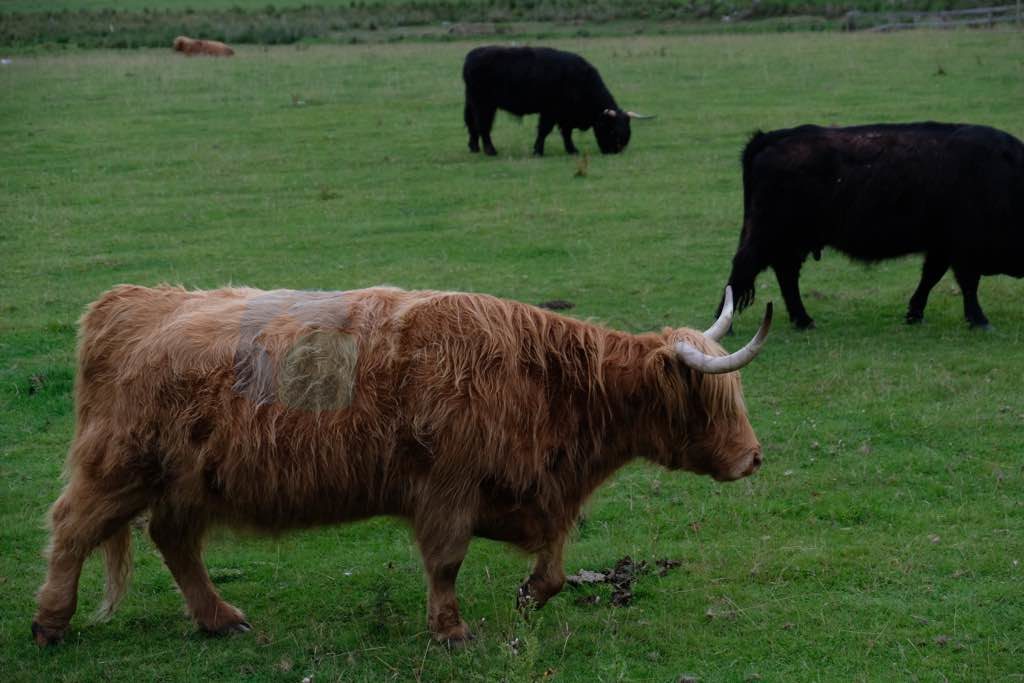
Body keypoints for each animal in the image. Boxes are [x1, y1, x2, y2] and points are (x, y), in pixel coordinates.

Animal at [32, 284, 770, 647]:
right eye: (711, 400)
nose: (753, 457)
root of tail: (135, 301)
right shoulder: (447, 489)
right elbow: (446, 562)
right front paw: (451, 631)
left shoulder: (526, 491)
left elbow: (556, 561)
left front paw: (530, 594)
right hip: (118, 466)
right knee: (71, 529)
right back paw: (50, 623)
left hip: (186, 482)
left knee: (175, 541)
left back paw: (220, 618)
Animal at [462, 46, 652, 157]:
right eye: (612, 130)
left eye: (627, 131)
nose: (614, 151)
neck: (581, 81)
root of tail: (472, 54)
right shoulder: (550, 112)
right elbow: (544, 130)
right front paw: (538, 151)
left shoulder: (565, 115)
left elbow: (566, 132)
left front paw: (572, 150)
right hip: (484, 105)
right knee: (483, 126)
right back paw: (490, 151)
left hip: (471, 103)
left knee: (472, 125)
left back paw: (474, 147)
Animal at [719, 122, 1024, 330]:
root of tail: (770, 137)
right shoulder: (964, 247)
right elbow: (968, 283)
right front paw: (979, 320)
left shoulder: (941, 246)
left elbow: (930, 277)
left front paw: (914, 314)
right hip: (768, 234)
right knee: (744, 268)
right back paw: (727, 326)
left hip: (791, 241)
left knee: (785, 275)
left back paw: (803, 320)